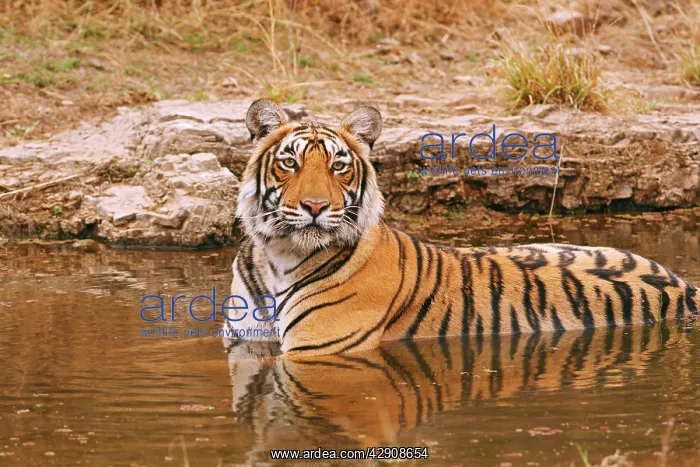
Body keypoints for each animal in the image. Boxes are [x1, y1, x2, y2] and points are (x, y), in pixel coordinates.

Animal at [224, 98, 699, 357]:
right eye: (290, 162)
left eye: (339, 167)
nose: (316, 206)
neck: (278, 257)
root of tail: (684, 285)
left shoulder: (318, 350)